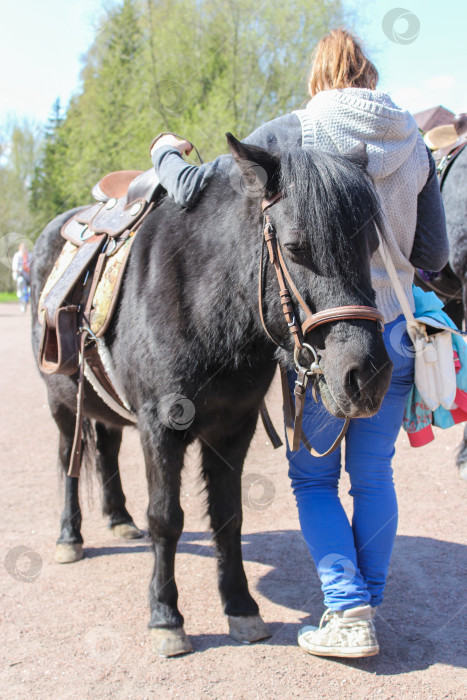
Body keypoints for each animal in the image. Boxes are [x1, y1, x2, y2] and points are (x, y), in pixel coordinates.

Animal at [31, 137, 394, 656]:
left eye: (371, 246)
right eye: (296, 247)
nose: (368, 375)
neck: (205, 307)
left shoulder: (233, 428)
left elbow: (228, 517)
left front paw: (241, 607)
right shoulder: (159, 427)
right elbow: (166, 518)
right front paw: (165, 616)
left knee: (107, 450)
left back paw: (118, 518)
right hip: (61, 403)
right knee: (69, 460)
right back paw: (70, 536)